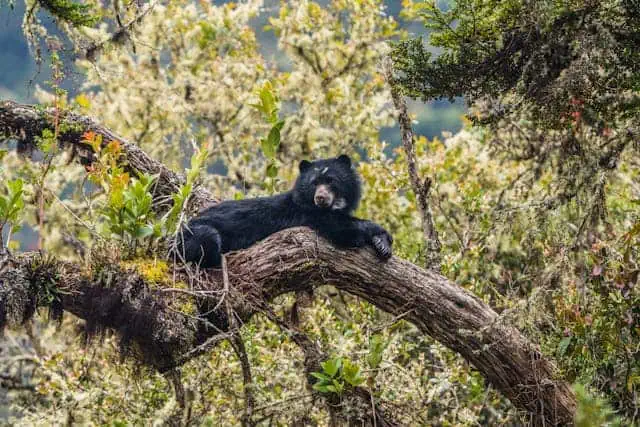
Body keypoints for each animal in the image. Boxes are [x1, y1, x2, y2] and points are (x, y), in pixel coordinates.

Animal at [178, 154, 392, 268]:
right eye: (314, 183)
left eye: (331, 181)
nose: (320, 198)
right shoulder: (309, 214)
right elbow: (343, 230)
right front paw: (382, 239)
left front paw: (382, 245)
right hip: (194, 236)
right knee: (209, 239)